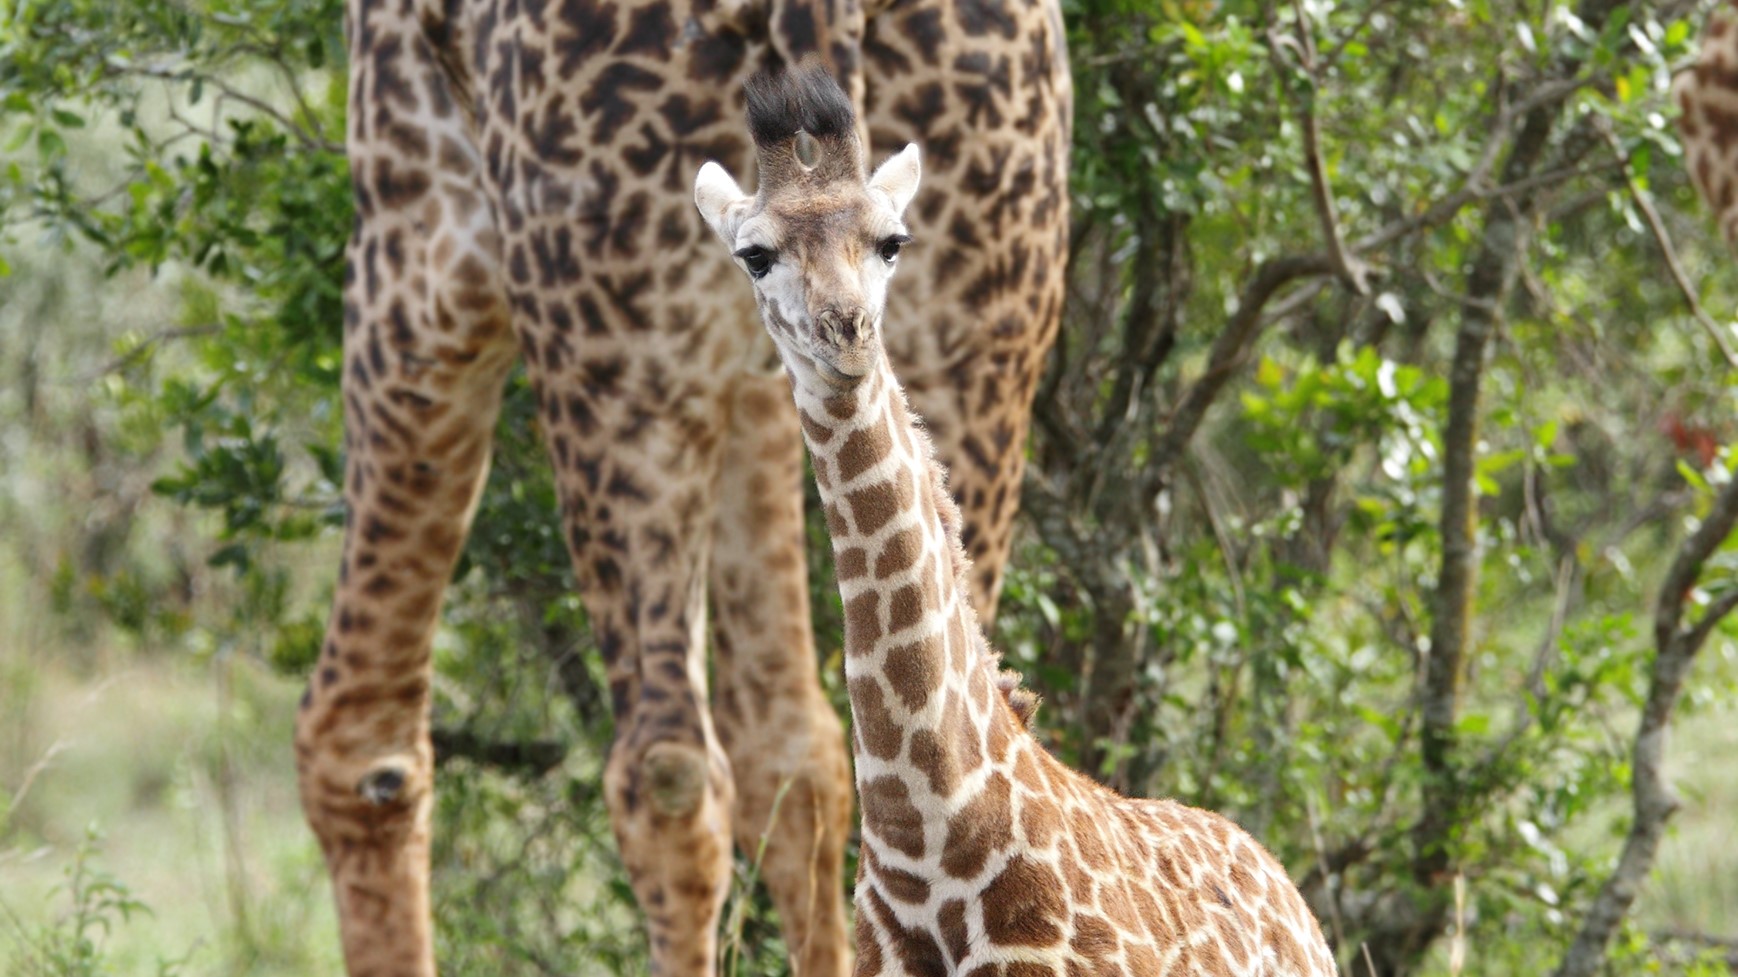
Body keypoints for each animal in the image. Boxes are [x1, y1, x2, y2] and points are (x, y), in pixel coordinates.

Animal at [291, 0, 1070, 973]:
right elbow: (795, 744)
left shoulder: (419, 227)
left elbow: (360, 743)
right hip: (982, 324)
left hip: (614, 358)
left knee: (663, 771)